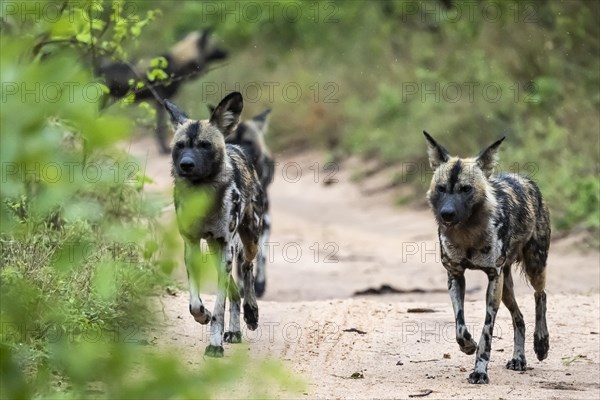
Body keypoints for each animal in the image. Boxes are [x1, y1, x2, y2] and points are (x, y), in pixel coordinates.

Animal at [166, 93, 264, 356]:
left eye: (204, 145)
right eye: (180, 146)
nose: (186, 164)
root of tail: (235, 146)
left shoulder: (225, 247)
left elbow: (219, 307)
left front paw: (214, 344)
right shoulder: (191, 245)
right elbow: (194, 304)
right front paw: (204, 317)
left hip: (247, 241)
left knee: (247, 270)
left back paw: (251, 313)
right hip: (214, 250)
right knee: (234, 292)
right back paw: (235, 331)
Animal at [422, 131, 548, 384]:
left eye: (466, 189)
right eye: (441, 188)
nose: (447, 213)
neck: (468, 233)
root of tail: (526, 179)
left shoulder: (493, 279)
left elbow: (487, 333)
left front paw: (480, 370)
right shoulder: (455, 276)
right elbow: (460, 326)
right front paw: (467, 346)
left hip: (534, 267)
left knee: (541, 296)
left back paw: (541, 344)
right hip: (506, 287)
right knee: (519, 318)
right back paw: (519, 359)